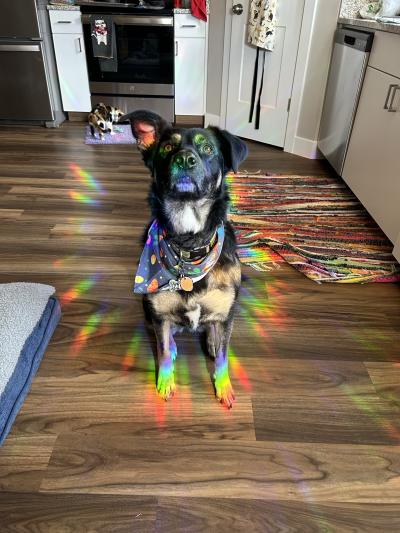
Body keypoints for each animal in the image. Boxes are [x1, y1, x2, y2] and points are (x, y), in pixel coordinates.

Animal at [125, 108, 248, 408]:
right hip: (147, 309)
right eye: (168, 147)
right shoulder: (158, 314)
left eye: (208, 149)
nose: (184, 159)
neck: (188, 245)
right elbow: (162, 350)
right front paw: (165, 382)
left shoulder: (226, 315)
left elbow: (223, 356)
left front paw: (223, 387)